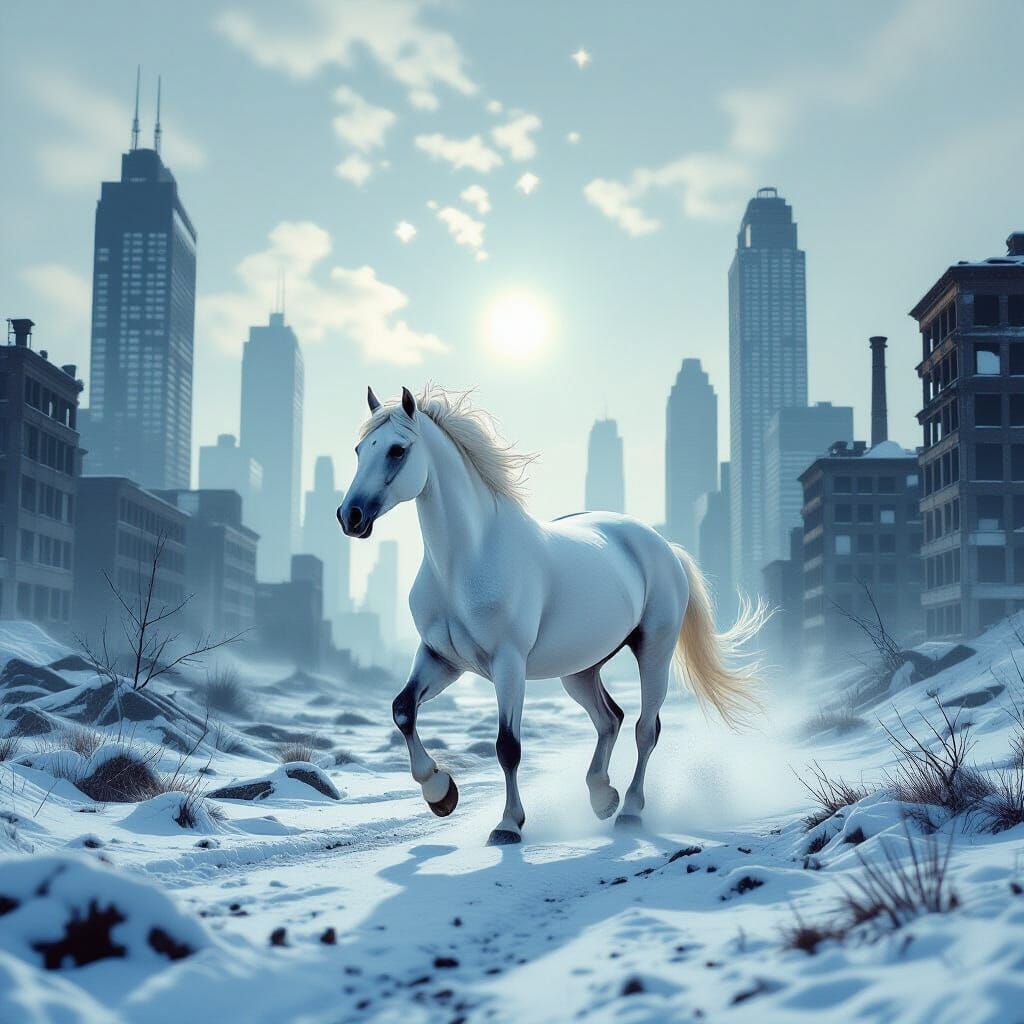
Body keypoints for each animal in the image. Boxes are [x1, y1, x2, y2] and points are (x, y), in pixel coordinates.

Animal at [338, 384, 766, 846]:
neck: (465, 562)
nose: (350, 516)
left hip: (654, 650)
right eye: (360, 449)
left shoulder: (508, 665)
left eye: (397, 450)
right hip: (578, 670)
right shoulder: (441, 659)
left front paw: (508, 824)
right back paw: (602, 796)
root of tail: (662, 544)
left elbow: (508, 746)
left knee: (644, 728)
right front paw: (441, 793)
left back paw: (629, 810)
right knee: (609, 719)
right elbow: (402, 710)